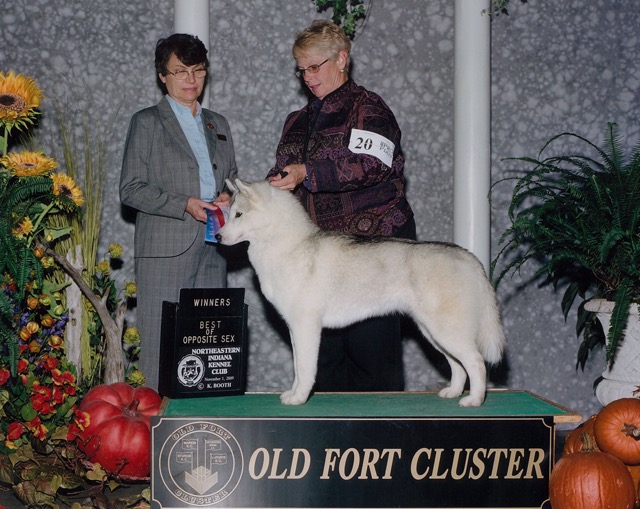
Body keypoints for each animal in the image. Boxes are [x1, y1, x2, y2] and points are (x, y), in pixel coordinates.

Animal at [216, 179, 505, 407]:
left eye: (238, 214)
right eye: (228, 213)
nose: (217, 237)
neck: (289, 246)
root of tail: (469, 258)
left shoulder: (307, 326)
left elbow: (306, 369)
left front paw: (299, 398)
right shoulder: (294, 328)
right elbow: (297, 367)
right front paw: (293, 393)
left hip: (446, 331)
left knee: (476, 362)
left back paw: (474, 400)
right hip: (433, 333)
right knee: (458, 365)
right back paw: (453, 392)